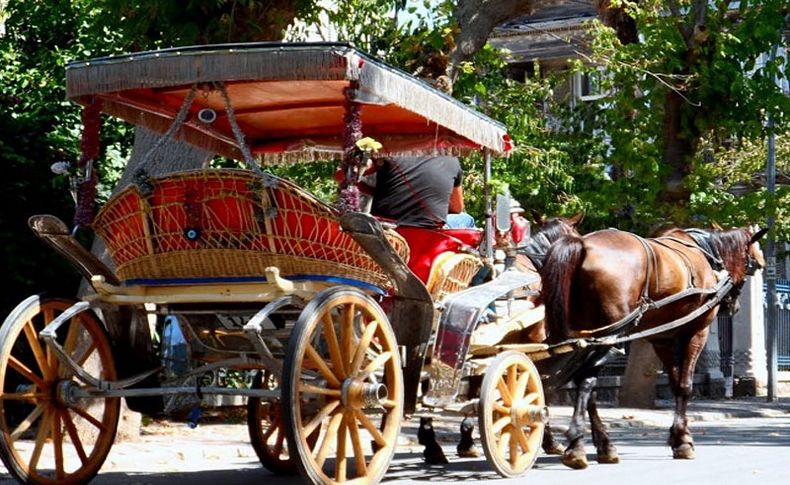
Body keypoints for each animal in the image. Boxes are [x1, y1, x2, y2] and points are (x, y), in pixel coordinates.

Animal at [544, 225, 768, 466]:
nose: (734, 307)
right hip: (610, 334)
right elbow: (685, 385)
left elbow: (675, 383)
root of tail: (582, 245)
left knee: (585, 384)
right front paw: (683, 440)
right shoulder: (697, 332)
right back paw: (577, 443)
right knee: (586, 381)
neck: (706, 254)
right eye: (753, 265)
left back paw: (602, 444)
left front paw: (678, 438)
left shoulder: (663, 338)